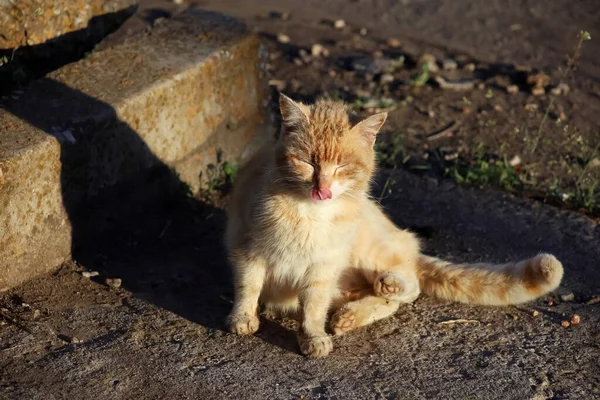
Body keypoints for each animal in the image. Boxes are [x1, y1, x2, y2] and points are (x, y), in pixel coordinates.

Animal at [224, 94, 564, 360]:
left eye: (343, 166)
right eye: (308, 162)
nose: (323, 189)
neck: (309, 214)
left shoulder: (324, 266)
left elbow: (314, 307)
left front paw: (312, 336)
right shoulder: (248, 249)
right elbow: (248, 287)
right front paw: (242, 318)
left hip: (368, 251)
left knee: (409, 285)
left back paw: (384, 288)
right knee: (386, 299)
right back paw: (352, 314)